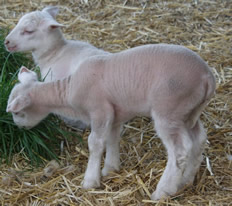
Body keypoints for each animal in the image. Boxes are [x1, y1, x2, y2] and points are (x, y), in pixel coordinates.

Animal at [6, 43, 216, 200]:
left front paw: (90, 181)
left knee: (180, 150)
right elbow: (112, 138)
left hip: (169, 109)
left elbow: (95, 143)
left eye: (18, 113)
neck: (68, 90)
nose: (19, 127)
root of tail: (207, 76)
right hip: (188, 112)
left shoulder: (100, 110)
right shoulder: (115, 114)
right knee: (198, 140)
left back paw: (163, 191)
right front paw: (111, 168)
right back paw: (186, 180)